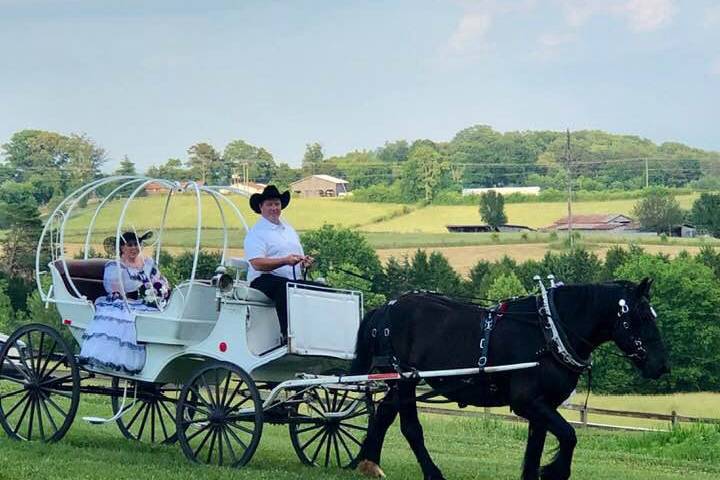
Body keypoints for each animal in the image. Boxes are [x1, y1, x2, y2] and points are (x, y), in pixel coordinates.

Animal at [352, 280, 672, 480]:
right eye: (642, 316)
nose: (661, 365)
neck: (547, 332)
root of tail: (386, 307)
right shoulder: (527, 402)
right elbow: (569, 435)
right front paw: (554, 472)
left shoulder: (543, 405)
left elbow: (535, 448)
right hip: (405, 380)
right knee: (410, 428)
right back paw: (432, 473)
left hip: (397, 382)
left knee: (383, 415)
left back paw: (366, 463)